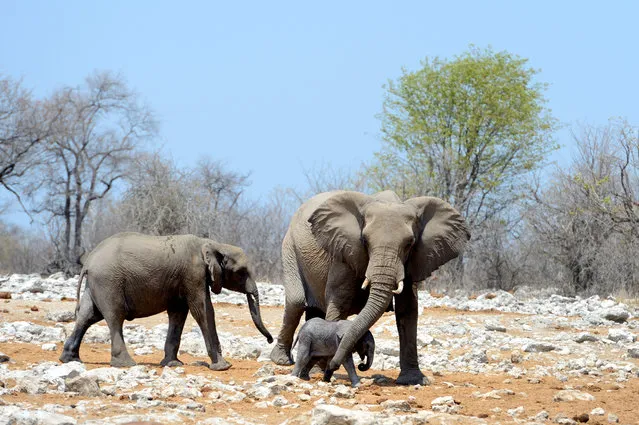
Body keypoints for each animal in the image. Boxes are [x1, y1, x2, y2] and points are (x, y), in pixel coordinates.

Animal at [60, 232, 278, 368]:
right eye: (241, 273)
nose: (270, 340)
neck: (212, 243)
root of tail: (88, 262)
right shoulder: (194, 274)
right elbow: (203, 310)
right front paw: (222, 366)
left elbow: (179, 314)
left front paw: (172, 364)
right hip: (108, 281)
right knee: (115, 316)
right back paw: (126, 363)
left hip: (97, 284)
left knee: (88, 316)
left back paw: (70, 360)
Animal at [270, 190, 470, 382]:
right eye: (364, 241)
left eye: (410, 243)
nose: (361, 365)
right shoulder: (344, 251)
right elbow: (339, 302)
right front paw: (326, 370)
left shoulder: (413, 261)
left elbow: (408, 309)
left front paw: (413, 380)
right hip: (290, 248)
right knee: (296, 302)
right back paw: (284, 361)